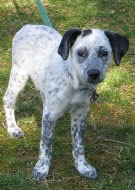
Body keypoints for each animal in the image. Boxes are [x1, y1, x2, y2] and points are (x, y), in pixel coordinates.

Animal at [3, 24, 129, 180]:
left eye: (104, 53)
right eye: (80, 53)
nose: (94, 74)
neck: (75, 83)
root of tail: (29, 25)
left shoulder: (80, 114)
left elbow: (78, 145)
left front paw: (82, 166)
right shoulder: (50, 115)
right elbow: (46, 143)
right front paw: (41, 168)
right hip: (19, 76)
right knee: (8, 99)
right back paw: (13, 129)